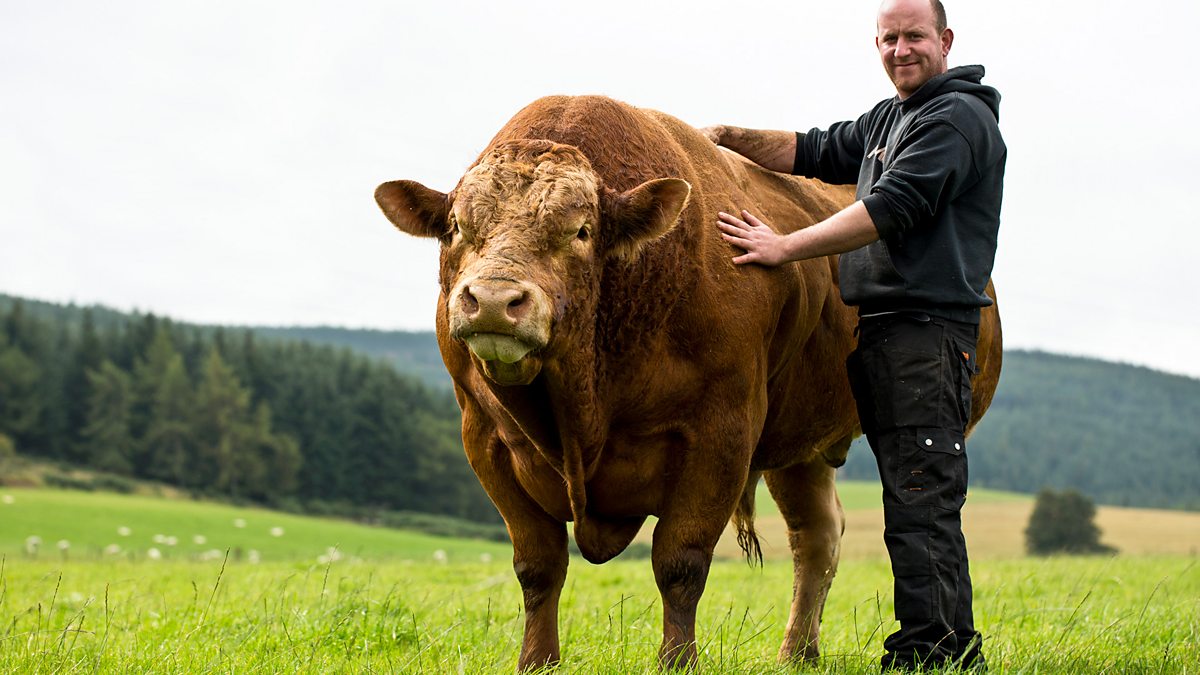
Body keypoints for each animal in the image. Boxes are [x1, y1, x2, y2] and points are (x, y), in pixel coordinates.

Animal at [376, 94, 1003, 667]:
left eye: (581, 231)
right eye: (457, 227)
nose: (492, 300)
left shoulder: (720, 434)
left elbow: (680, 561)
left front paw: (677, 660)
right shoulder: (486, 440)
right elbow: (538, 566)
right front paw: (536, 661)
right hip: (800, 450)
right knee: (818, 537)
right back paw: (797, 654)